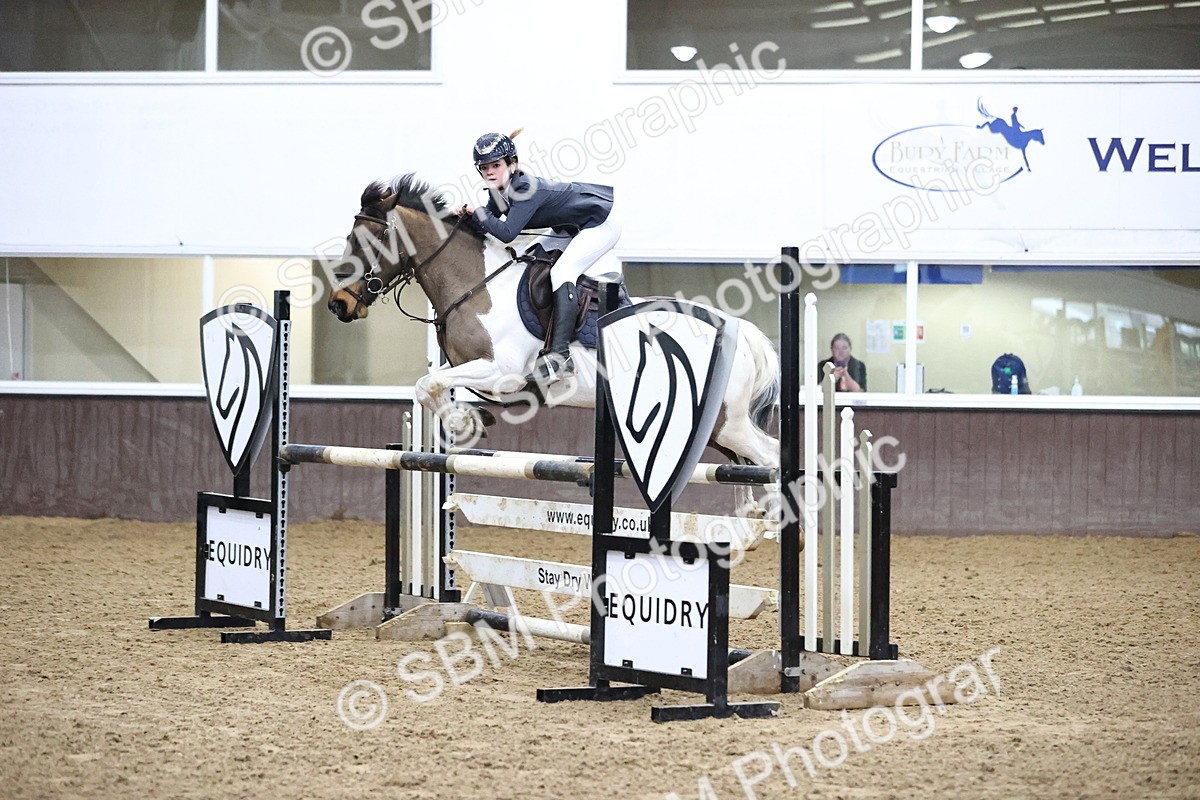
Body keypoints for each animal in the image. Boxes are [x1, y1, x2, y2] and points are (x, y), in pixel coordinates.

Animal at [326, 174, 780, 516]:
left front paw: (464, 423)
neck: (476, 283)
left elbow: (428, 384)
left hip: (726, 422)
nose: (338, 304)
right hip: (710, 428)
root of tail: (738, 331)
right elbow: (431, 386)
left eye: (367, 241)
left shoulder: (503, 373)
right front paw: (469, 421)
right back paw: (749, 515)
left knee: (771, 457)